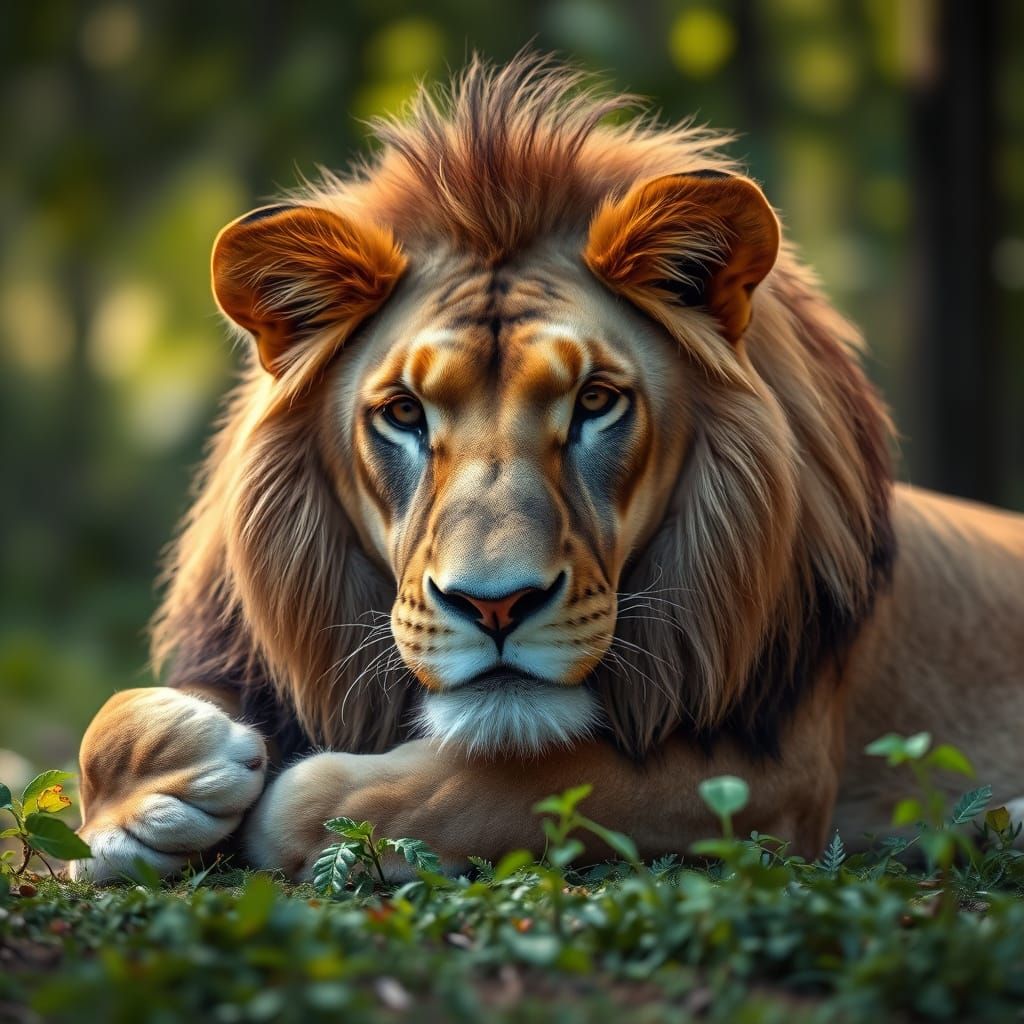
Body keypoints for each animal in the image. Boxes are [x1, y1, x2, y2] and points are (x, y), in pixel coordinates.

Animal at [71, 55, 1024, 883]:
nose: (495, 605)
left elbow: (489, 789)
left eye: (595, 401)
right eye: (405, 414)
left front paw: (288, 798)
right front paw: (155, 792)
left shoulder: (775, 775)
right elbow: (108, 716)